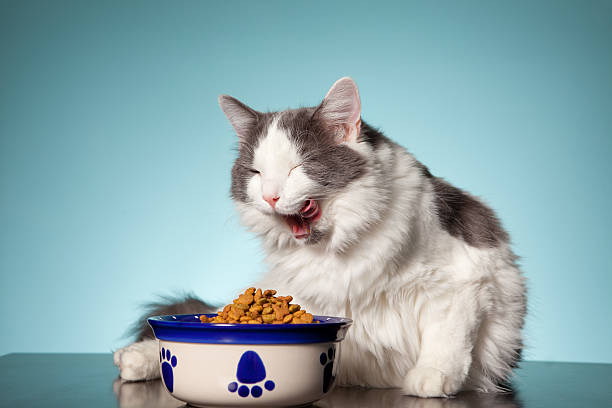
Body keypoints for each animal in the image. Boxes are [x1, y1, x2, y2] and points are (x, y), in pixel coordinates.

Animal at [115, 77, 524, 398]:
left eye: (298, 167)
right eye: (256, 173)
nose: (270, 196)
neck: (336, 248)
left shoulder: (462, 282)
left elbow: (447, 338)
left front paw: (432, 377)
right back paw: (136, 358)